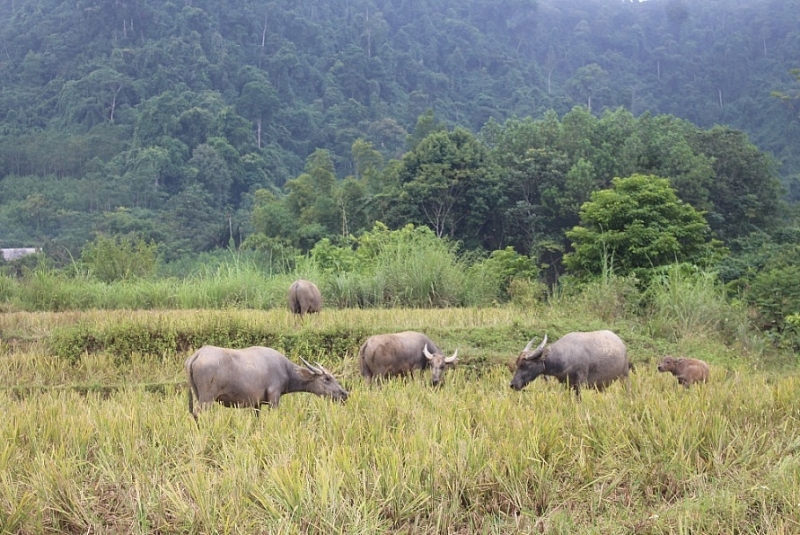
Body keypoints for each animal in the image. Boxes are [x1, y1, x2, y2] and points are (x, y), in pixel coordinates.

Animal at [188, 346, 350, 420]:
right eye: (327, 379)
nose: (344, 394)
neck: (286, 370)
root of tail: (197, 355)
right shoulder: (274, 397)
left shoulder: (256, 403)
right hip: (207, 399)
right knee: (198, 414)